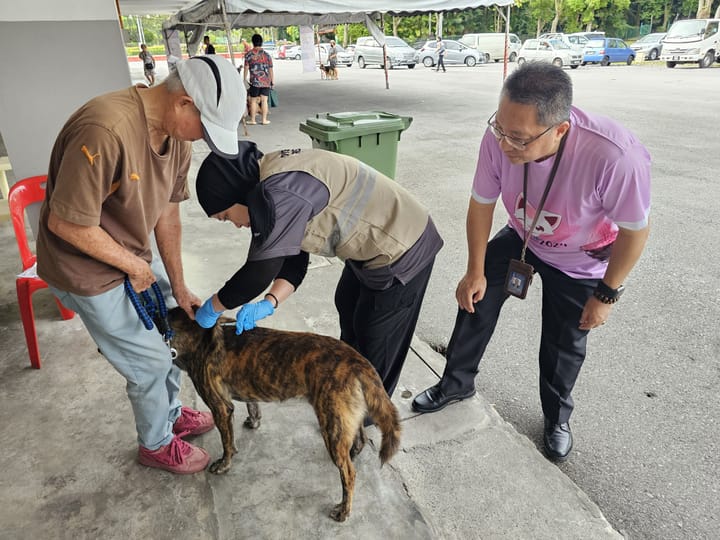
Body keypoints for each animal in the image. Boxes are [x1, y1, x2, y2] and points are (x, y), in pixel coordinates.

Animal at [169, 308, 404, 524]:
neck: (196, 335)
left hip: (332, 427)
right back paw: (354, 452)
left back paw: (344, 510)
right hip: (344, 417)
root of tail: (358, 362)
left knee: (349, 474)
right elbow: (252, 405)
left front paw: (224, 464)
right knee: (360, 437)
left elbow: (227, 442)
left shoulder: (220, 408)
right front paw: (254, 421)